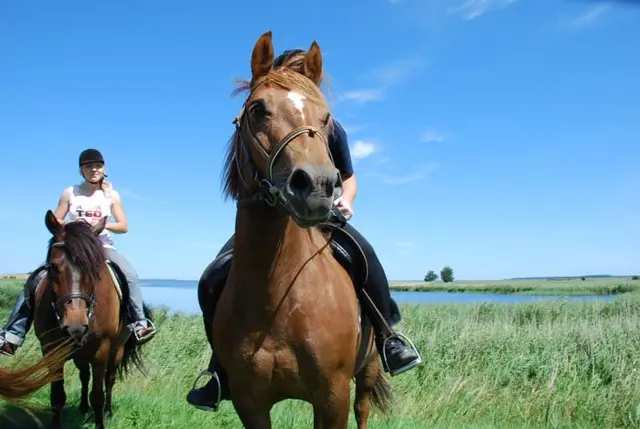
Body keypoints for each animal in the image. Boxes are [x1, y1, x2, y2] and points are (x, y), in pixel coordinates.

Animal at [0, 211, 149, 428]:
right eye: (53, 267)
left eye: (94, 268)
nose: (76, 326)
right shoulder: (51, 349)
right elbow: (57, 396)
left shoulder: (102, 349)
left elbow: (98, 395)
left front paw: (100, 420)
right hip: (80, 353)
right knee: (84, 375)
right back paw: (83, 407)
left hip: (117, 349)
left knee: (109, 379)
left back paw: (108, 412)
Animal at [211, 30, 390, 428]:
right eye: (257, 108)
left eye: (326, 117)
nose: (318, 186)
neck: (277, 296)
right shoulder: (249, 403)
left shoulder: (333, 398)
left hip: (369, 369)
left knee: (364, 408)